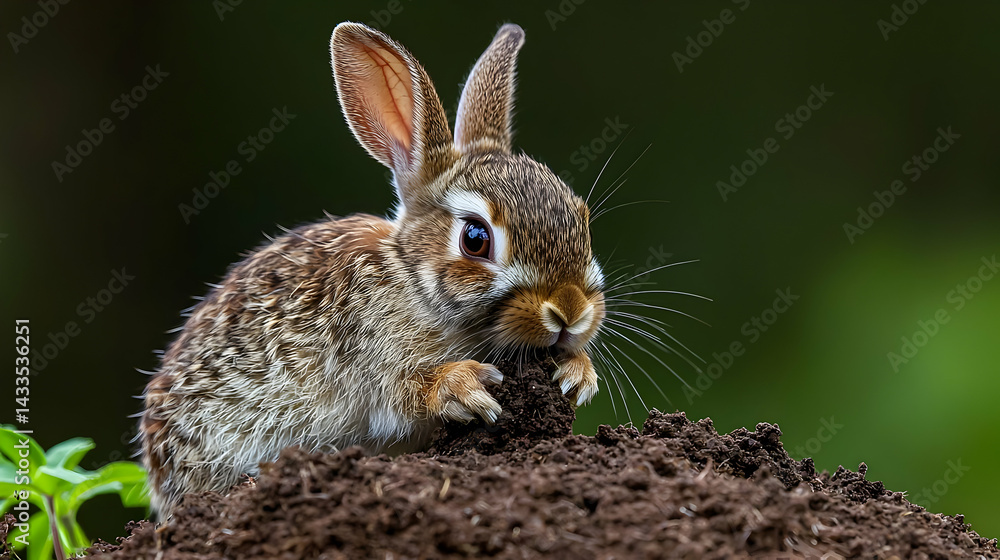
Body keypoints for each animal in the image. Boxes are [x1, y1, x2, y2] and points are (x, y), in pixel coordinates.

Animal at [140, 21, 606, 518]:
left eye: (583, 219)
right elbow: (406, 393)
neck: (412, 278)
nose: (570, 311)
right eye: (475, 238)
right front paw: (465, 386)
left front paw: (578, 375)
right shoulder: (373, 354)